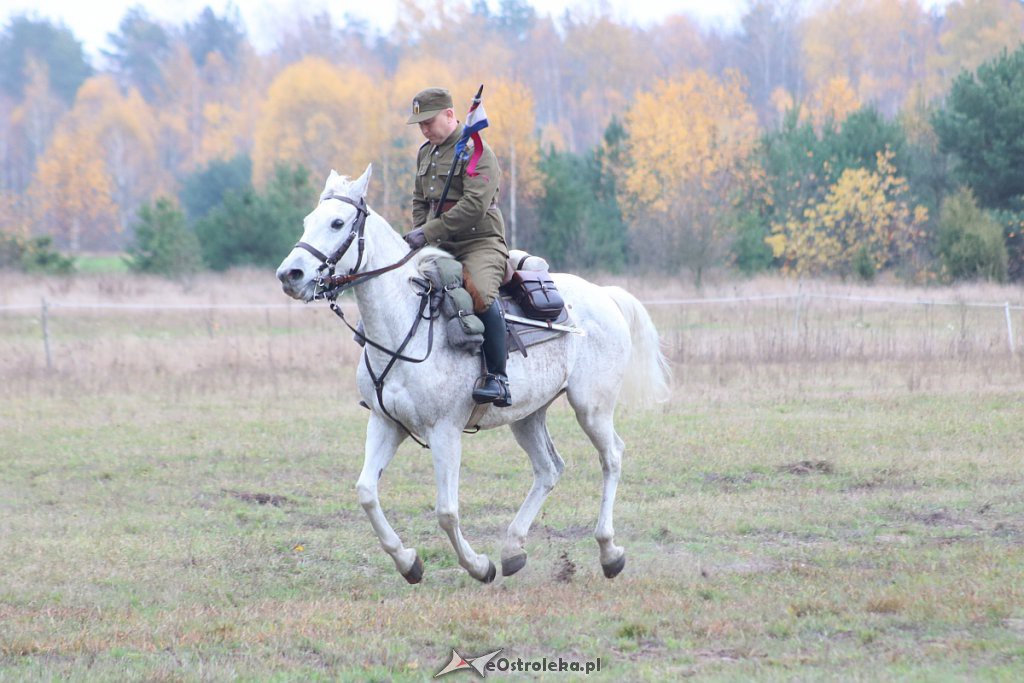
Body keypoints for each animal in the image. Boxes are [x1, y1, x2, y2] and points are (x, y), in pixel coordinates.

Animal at [276, 166, 671, 589]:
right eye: (308, 221)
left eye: (338, 222)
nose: (289, 275)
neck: (407, 324)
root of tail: (604, 294)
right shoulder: (385, 422)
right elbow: (366, 492)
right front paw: (408, 562)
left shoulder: (445, 431)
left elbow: (446, 511)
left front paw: (479, 566)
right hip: (528, 416)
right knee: (549, 469)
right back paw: (513, 550)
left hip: (591, 408)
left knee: (611, 457)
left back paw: (609, 552)